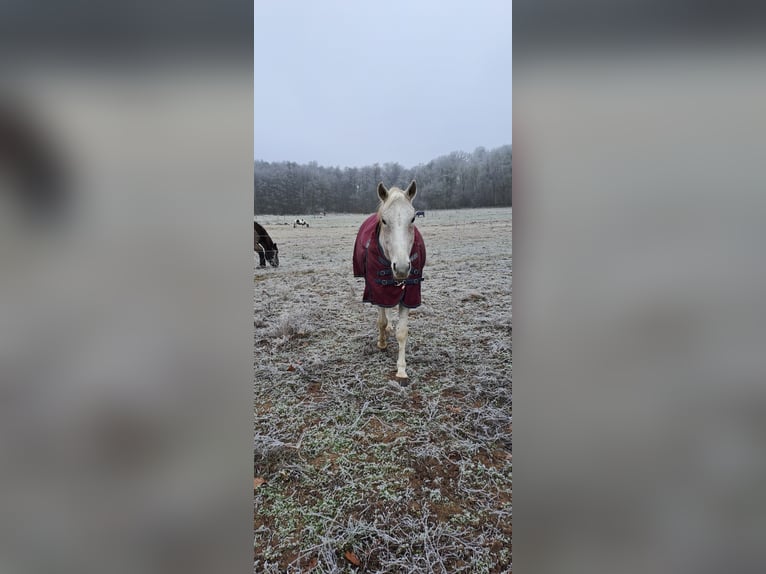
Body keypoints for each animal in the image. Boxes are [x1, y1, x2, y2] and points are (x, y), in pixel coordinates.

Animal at [354, 180, 426, 382]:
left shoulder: (409, 294)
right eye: (384, 221)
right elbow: (381, 320)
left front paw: (401, 369)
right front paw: (381, 342)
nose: (401, 268)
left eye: (413, 219)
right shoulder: (377, 290)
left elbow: (402, 332)